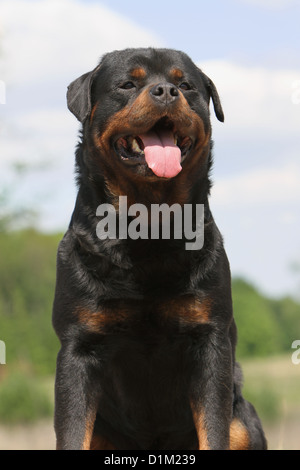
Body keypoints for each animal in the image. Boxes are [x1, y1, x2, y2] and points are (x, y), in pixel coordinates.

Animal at [52, 47, 268, 452]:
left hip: (243, 422)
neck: (149, 225)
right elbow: (72, 431)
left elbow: (214, 428)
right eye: (127, 84)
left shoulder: (209, 342)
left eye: (186, 85)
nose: (167, 91)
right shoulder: (79, 345)